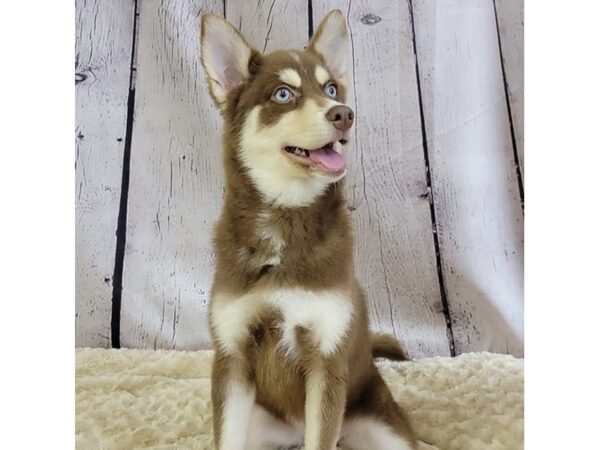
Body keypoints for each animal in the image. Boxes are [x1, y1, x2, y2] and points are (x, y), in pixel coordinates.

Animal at [202, 8, 418, 448]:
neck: (285, 220)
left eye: (331, 88)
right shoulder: (231, 356)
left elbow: (323, 435)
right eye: (284, 94)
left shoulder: (326, 358)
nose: (343, 113)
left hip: (384, 429)